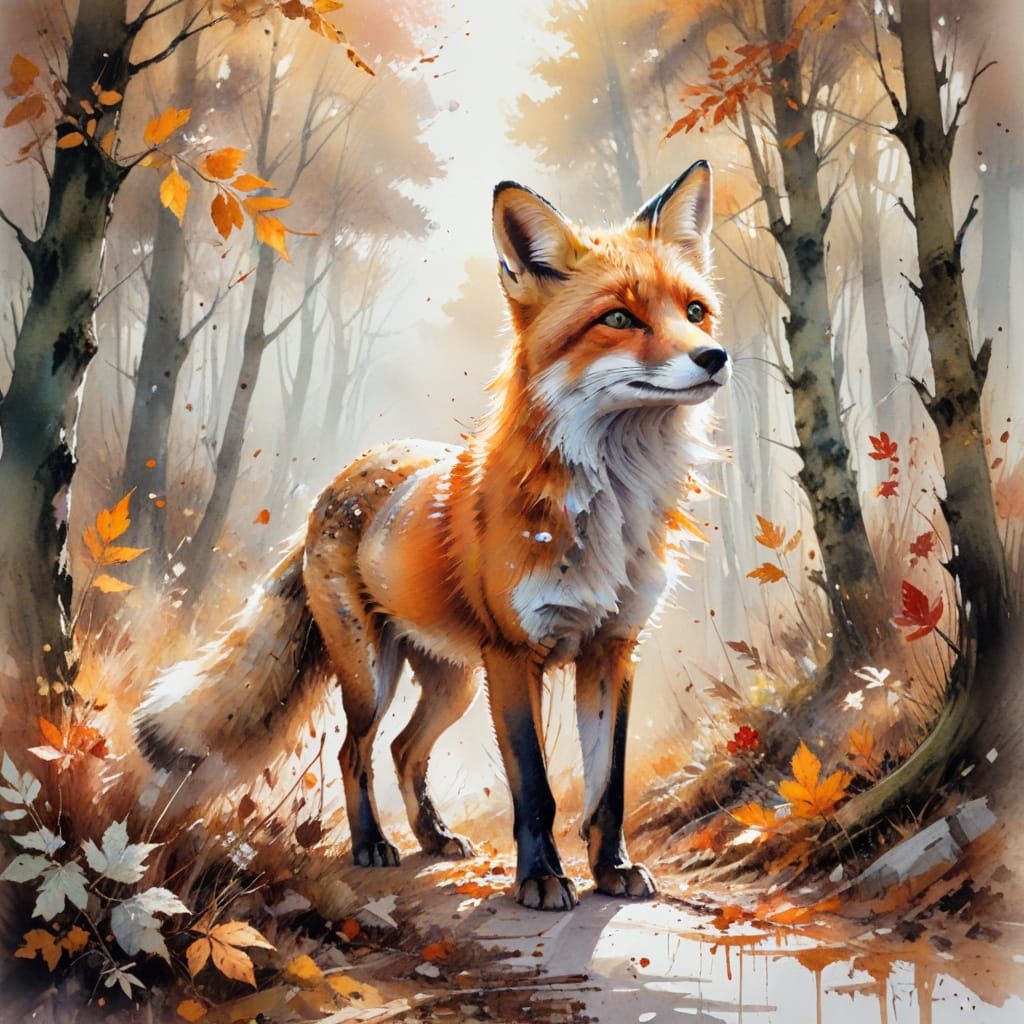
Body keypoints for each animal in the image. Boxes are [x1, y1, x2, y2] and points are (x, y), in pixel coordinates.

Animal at [134, 159, 731, 912]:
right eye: (619, 318)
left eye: (694, 312)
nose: (715, 356)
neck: (610, 510)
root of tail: (337, 483)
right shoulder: (514, 655)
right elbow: (535, 790)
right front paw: (542, 878)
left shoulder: (613, 649)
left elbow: (609, 786)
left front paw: (611, 870)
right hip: (375, 675)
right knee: (355, 752)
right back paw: (373, 846)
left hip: (454, 683)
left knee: (403, 750)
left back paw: (433, 837)